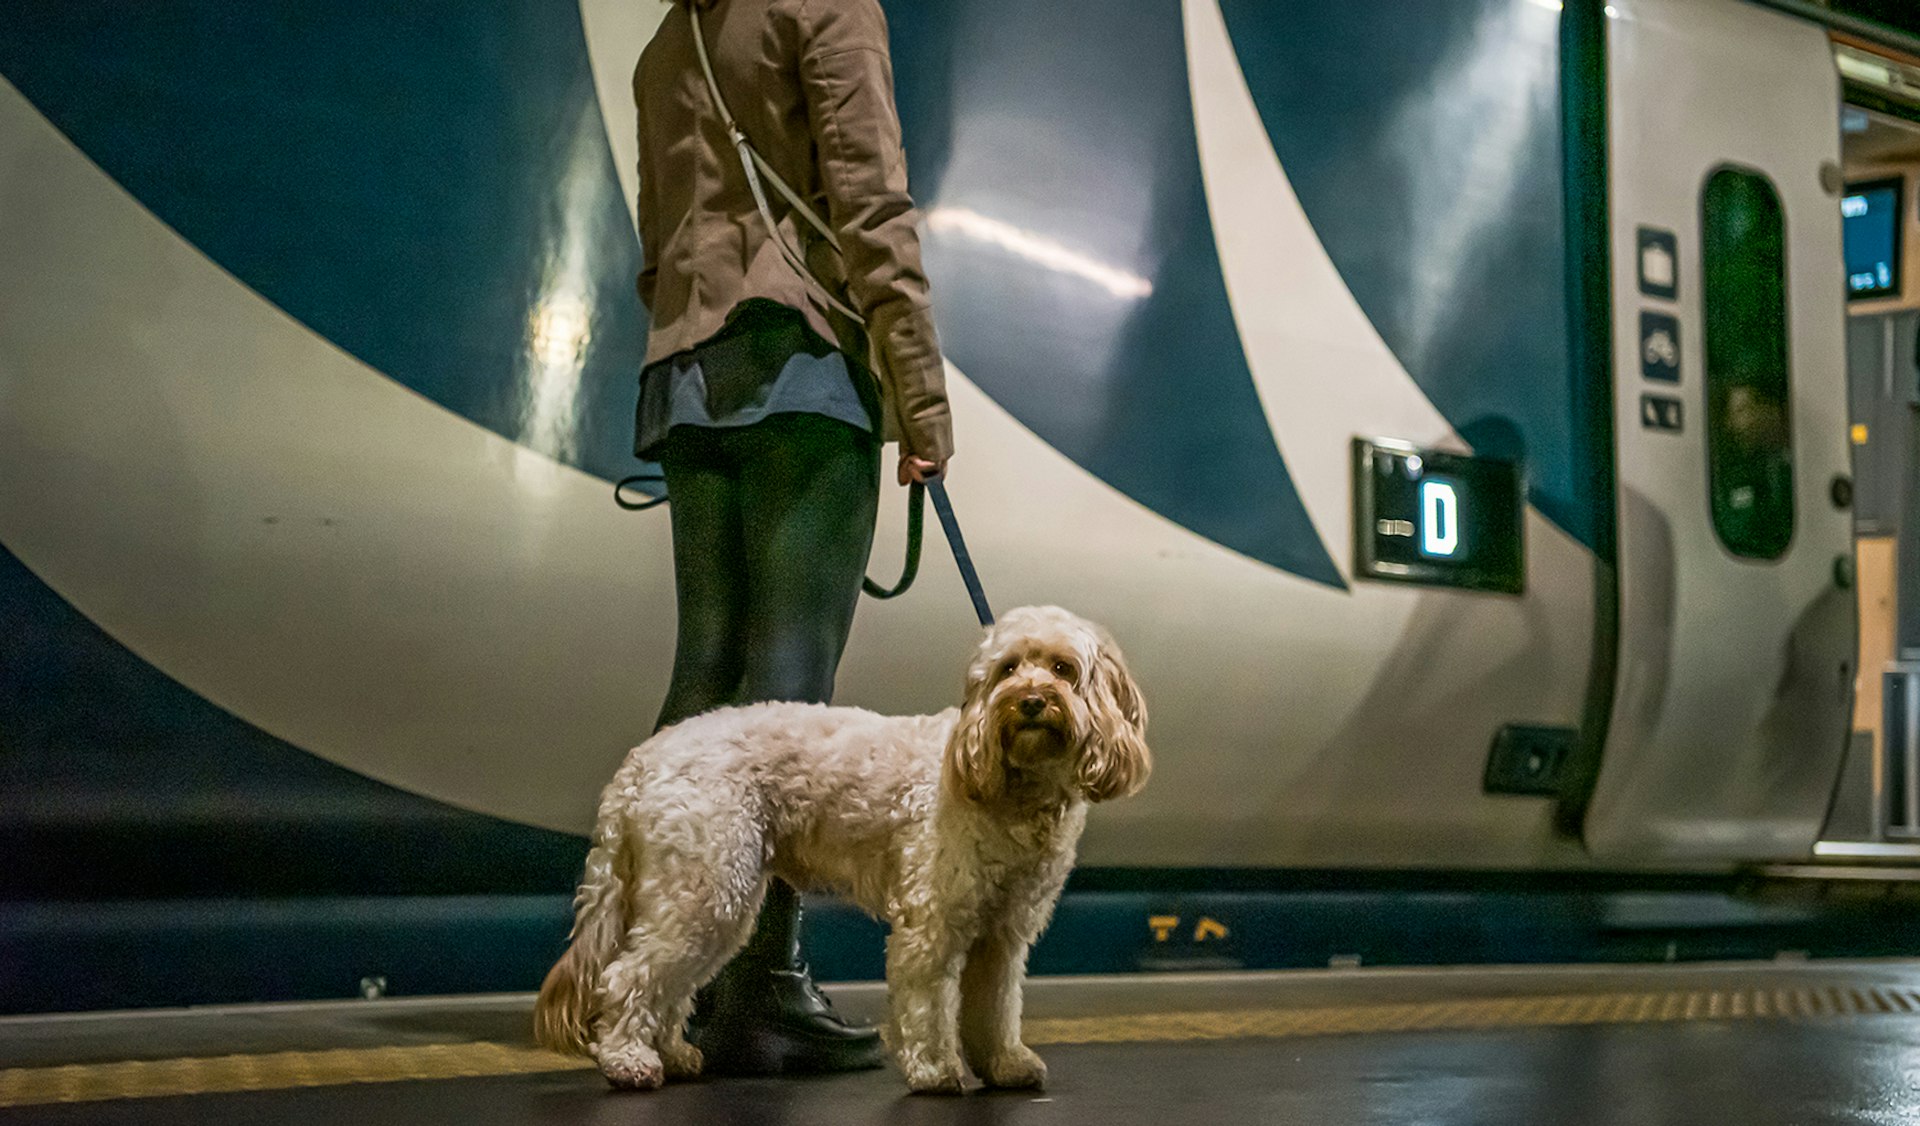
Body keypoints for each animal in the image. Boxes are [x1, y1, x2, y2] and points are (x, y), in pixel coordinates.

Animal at [533, 603, 1144, 1083]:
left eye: (1063, 668)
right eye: (1008, 669)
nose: (1032, 701)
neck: (1012, 787)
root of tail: (642, 760)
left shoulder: (1004, 932)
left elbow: (995, 1008)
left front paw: (1005, 1065)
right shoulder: (934, 922)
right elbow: (928, 1005)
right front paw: (934, 1069)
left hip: (708, 900)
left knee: (669, 987)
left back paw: (672, 1053)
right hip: (704, 892)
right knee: (628, 977)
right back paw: (627, 1059)